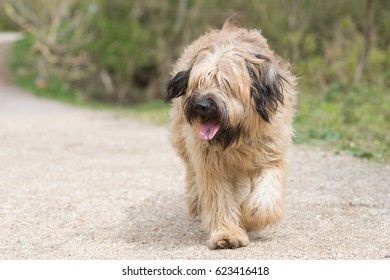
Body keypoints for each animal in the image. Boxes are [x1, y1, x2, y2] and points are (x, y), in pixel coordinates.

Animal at [165, 16, 296, 249]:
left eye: (226, 84)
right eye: (198, 83)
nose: (201, 105)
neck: (237, 136)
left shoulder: (272, 154)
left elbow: (265, 200)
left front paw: (249, 219)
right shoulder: (211, 163)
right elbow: (219, 198)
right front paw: (227, 234)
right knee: (192, 173)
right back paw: (197, 203)